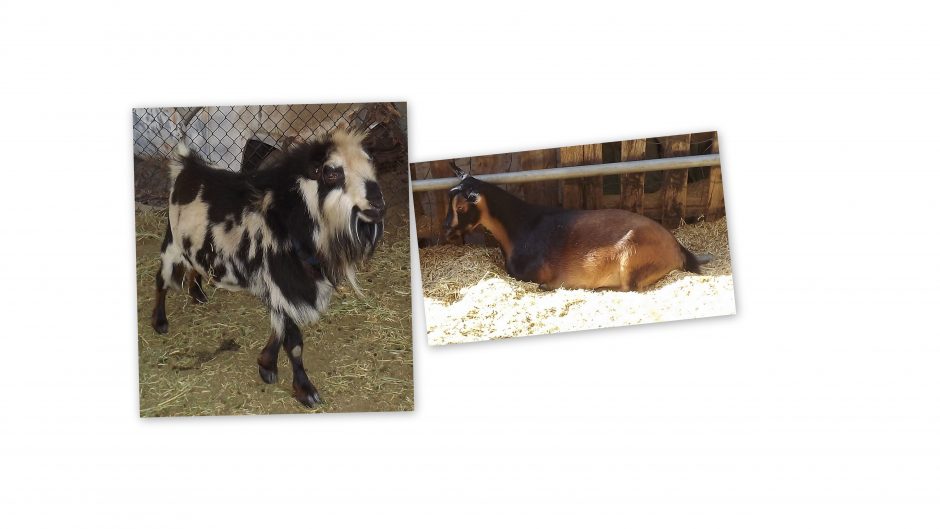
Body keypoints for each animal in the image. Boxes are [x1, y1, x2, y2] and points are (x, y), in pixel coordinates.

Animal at [151, 128, 385, 407]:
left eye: (370, 163)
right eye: (331, 173)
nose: (378, 204)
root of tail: (186, 165)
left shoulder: (284, 288)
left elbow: (280, 327)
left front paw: (266, 365)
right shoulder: (283, 283)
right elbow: (293, 342)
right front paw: (305, 390)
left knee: (193, 265)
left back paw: (197, 293)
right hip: (172, 244)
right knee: (161, 279)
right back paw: (159, 321)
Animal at [443, 161, 710, 292]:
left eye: (461, 208)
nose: (446, 229)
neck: (522, 226)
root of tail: (677, 248)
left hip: (631, 259)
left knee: (629, 287)